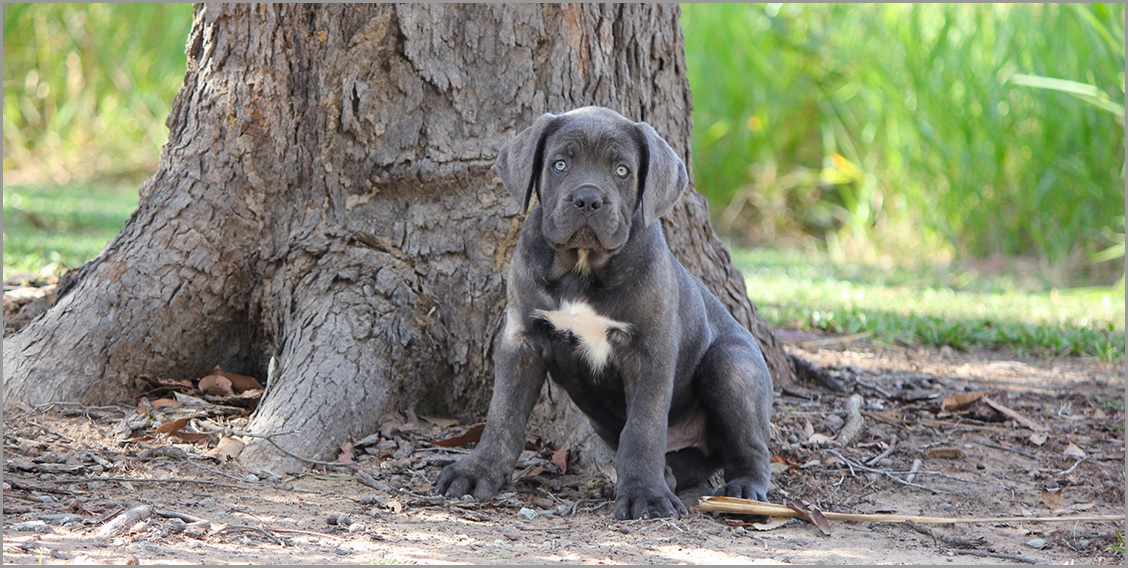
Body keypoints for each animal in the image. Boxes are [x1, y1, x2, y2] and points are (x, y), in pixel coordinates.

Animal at [433, 106, 776, 518]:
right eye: (560, 164)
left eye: (622, 170)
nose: (587, 200)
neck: (582, 269)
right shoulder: (522, 341)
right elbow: (503, 413)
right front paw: (478, 470)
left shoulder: (650, 352)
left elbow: (643, 428)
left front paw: (646, 494)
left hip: (731, 365)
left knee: (751, 448)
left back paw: (744, 490)